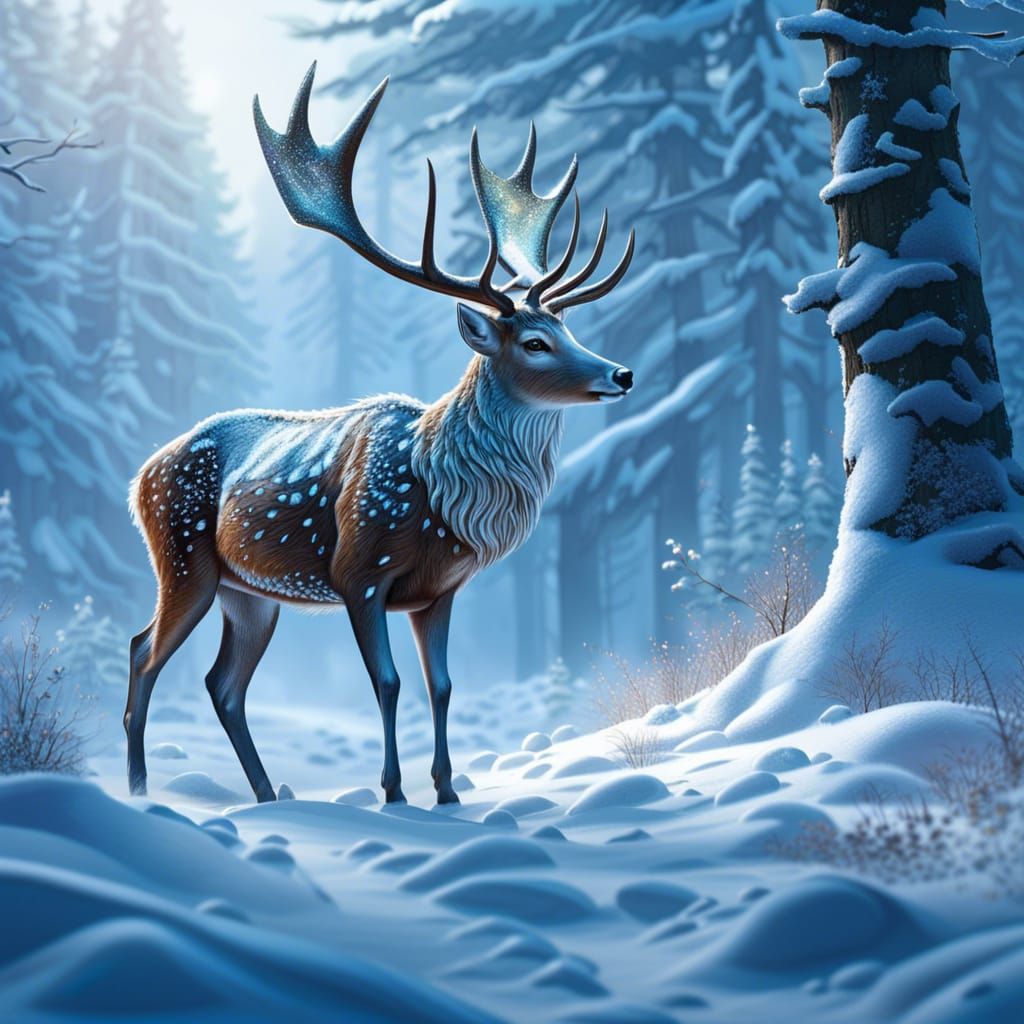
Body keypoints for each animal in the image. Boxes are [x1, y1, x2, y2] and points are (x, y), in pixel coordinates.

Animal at [125, 64, 635, 806]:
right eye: (536, 343)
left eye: (569, 330)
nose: (621, 372)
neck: (443, 495)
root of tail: (138, 476)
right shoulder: (357, 574)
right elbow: (389, 685)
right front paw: (394, 792)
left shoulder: (441, 590)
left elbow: (442, 687)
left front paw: (447, 792)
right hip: (183, 556)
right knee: (143, 651)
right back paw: (139, 789)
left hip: (247, 593)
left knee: (222, 684)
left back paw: (267, 794)